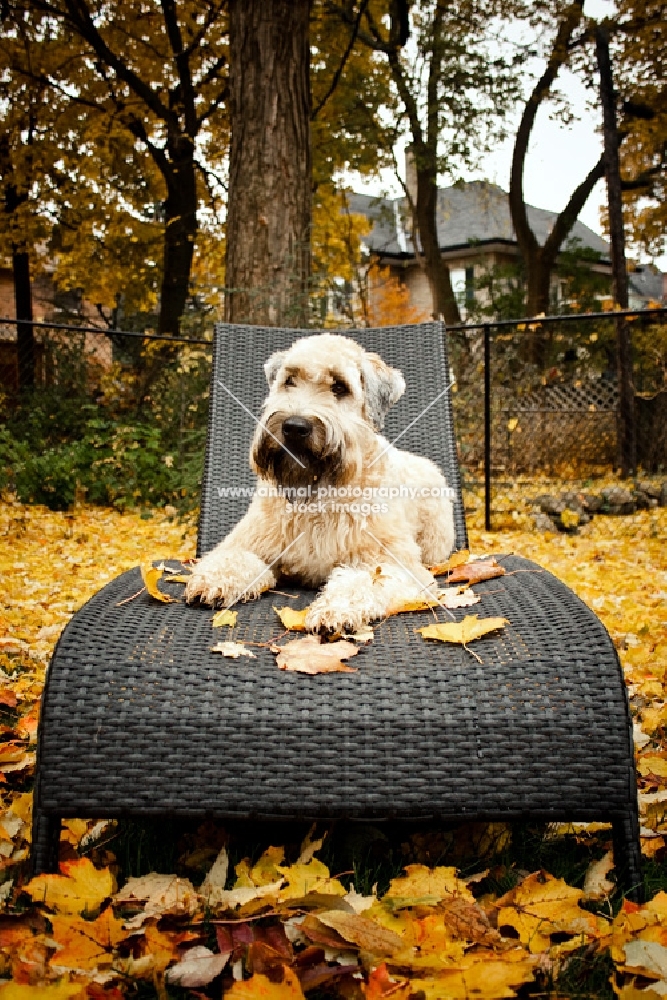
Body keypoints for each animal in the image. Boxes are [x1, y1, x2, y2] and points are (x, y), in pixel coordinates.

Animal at [185, 336, 456, 632]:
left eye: (339, 386)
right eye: (289, 380)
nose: (294, 427)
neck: (317, 494)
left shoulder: (396, 565)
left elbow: (363, 581)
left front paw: (336, 610)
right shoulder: (248, 543)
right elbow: (232, 558)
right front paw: (213, 580)